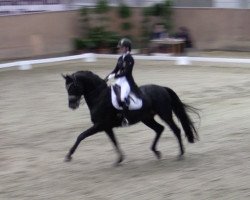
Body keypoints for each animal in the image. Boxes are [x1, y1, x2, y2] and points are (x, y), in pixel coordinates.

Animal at [62, 70, 199, 166]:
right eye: (66, 88)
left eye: (72, 86)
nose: (72, 105)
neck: (99, 96)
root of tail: (162, 88)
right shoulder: (106, 127)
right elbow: (114, 142)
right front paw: (119, 159)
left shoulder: (99, 125)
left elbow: (81, 136)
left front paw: (68, 156)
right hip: (147, 118)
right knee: (159, 129)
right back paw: (156, 152)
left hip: (165, 115)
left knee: (176, 130)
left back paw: (180, 154)